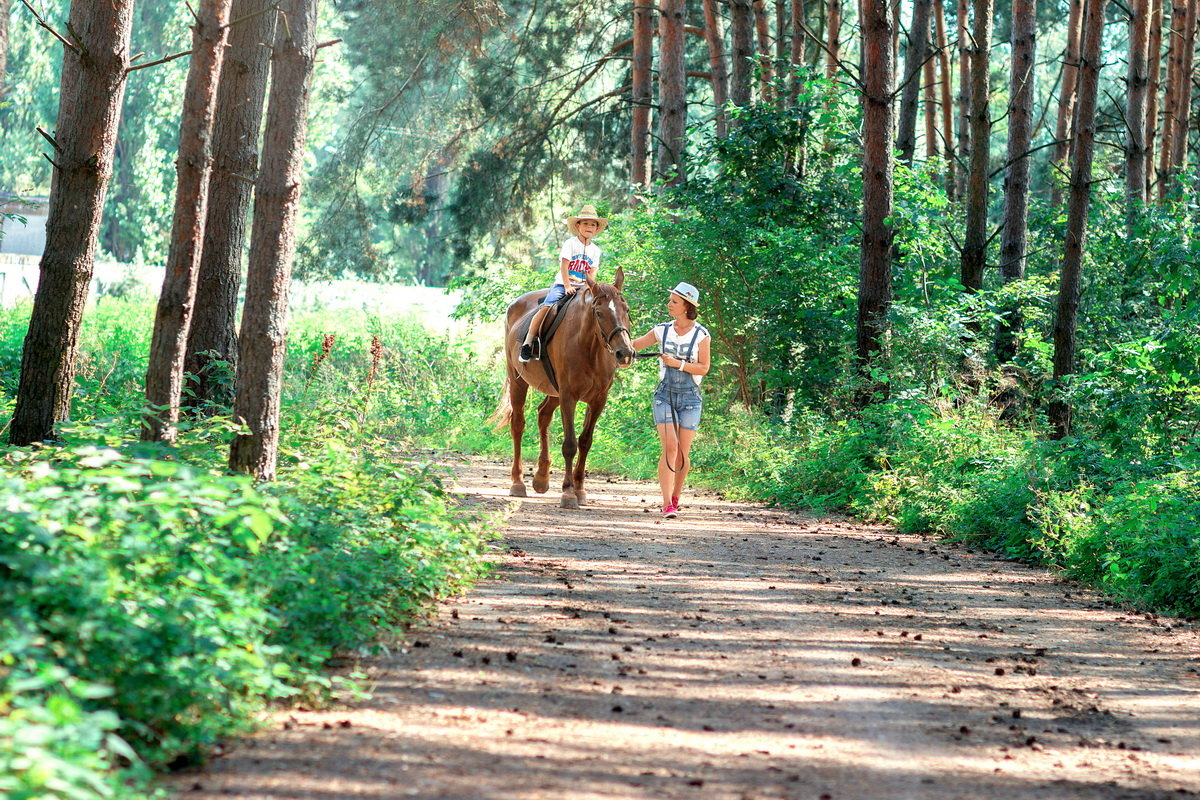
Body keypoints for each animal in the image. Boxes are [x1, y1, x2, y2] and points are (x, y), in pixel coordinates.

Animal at [492, 267, 638, 506]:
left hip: (554, 391)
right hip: (518, 381)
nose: (624, 353)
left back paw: (541, 478)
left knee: (543, 415)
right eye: (599, 313)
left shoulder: (598, 400)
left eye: (626, 309)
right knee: (518, 425)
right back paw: (518, 483)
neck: (590, 348)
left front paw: (579, 489)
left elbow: (585, 442)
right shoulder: (569, 396)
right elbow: (569, 444)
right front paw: (568, 493)